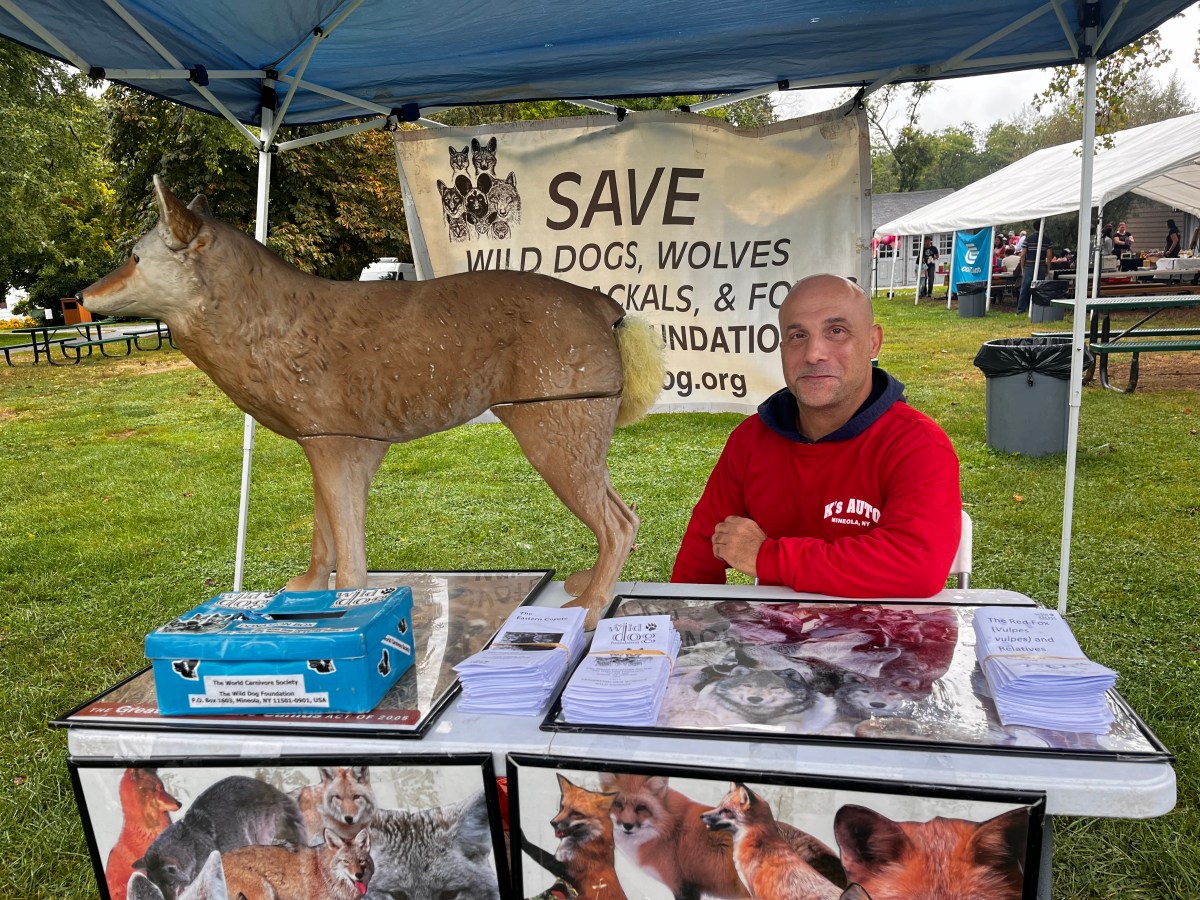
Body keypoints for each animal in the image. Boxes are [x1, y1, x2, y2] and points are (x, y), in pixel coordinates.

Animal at [82, 176, 667, 628]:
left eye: (134, 257)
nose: (83, 298)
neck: (266, 320)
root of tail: (601, 304)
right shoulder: (330, 448)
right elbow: (323, 539)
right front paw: (307, 591)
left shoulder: (340, 450)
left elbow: (349, 559)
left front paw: (345, 610)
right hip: (576, 445)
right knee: (627, 515)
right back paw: (588, 586)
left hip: (553, 444)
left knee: (618, 526)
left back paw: (590, 608)